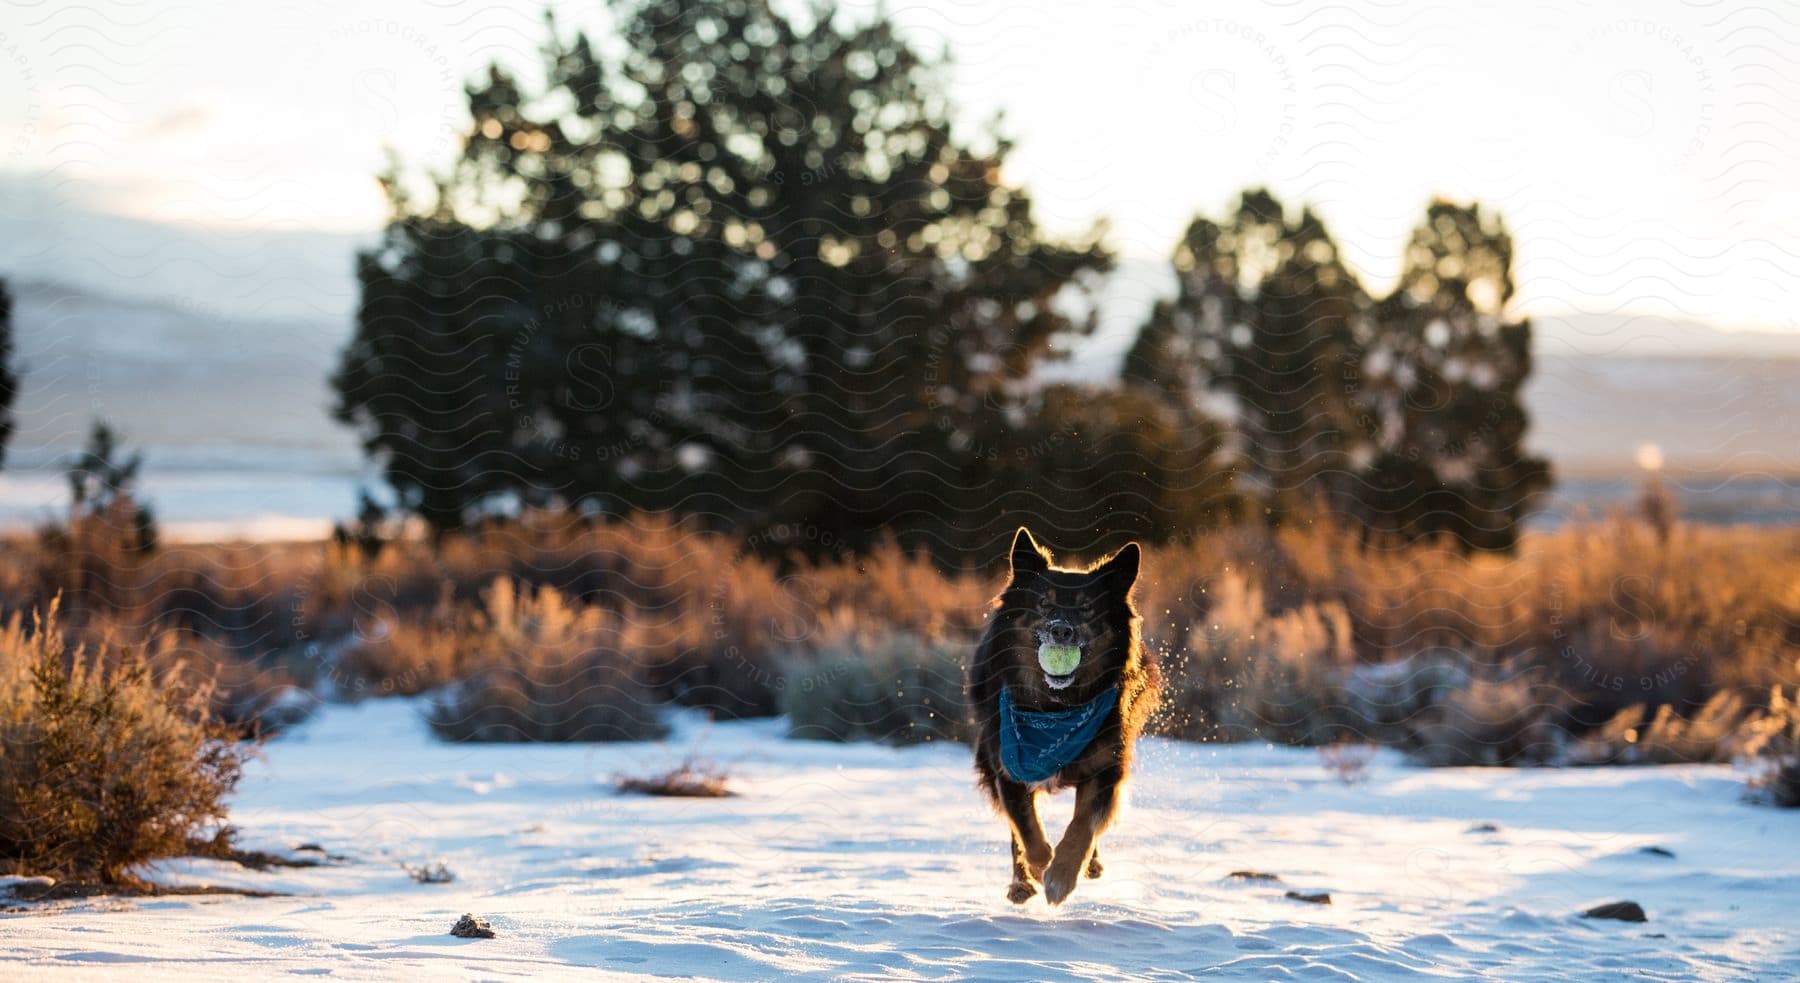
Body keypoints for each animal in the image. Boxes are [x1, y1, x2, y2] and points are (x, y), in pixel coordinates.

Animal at [964, 529, 1159, 903]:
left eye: (1086, 607)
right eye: (1043, 602)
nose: (1061, 630)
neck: (1055, 708)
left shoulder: (1106, 768)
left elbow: (1083, 825)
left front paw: (1063, 875)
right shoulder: (1008, 767)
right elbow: (1028, 832)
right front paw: (1042, 871)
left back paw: (1090, 865)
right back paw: (1020, 883)